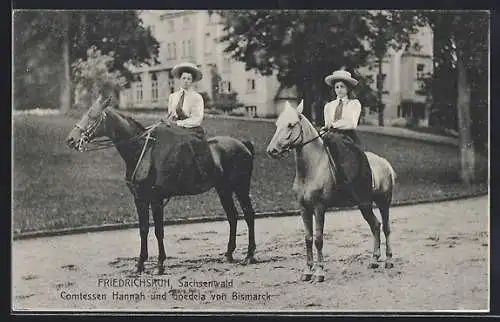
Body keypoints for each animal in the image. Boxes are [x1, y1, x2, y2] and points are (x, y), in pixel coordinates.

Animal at [65, 95, 258, 274]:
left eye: (92, 115)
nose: (71, 139)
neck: (142, 152)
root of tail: (243, 144)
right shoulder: (140, 200)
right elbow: (144, 230)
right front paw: (140, 264)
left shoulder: (156, 200)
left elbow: (158, 231)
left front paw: (159, 264)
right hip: (223, 189)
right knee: (233, 216)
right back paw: (229, 253)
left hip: (240, 187)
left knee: (249, 215)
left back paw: (249, 255)